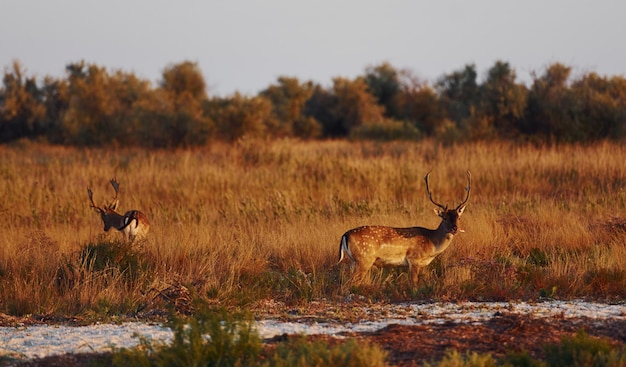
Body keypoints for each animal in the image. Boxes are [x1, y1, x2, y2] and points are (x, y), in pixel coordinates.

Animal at [336, 171, 468, 286]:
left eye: (458, 217)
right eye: (444, 218)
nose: (455, 228)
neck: (432, 243)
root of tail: (345, 235)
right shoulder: (414, 259)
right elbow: (414, 283)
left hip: (354, 261)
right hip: (364, 258)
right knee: (352, 282)